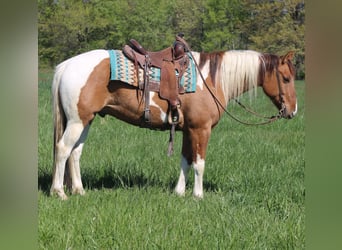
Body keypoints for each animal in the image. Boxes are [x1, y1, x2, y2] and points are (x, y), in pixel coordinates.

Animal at [50, 46, 296, 200]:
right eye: (286, 78)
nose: (292, 111)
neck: (211, 80)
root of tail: (66, 66)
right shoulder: (201, 130)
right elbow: (199, 163)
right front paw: (198, 195)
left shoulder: (187, 130)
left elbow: (185, 160)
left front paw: (179, 192)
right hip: (77, 121)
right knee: (63, 149)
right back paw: (59, 192)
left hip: (86, 120)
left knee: (75, 153)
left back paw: (79, 190)